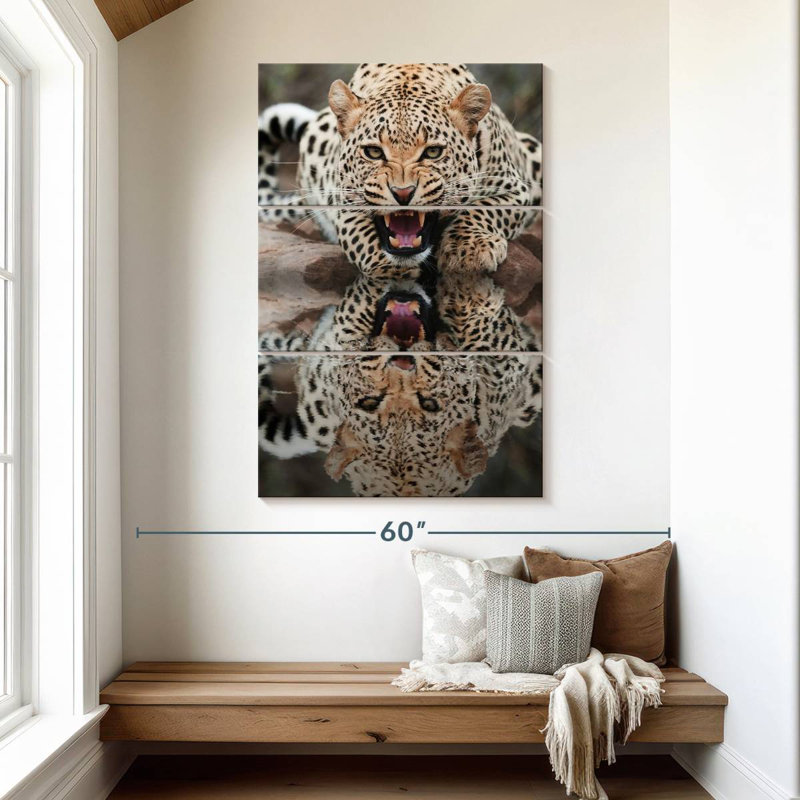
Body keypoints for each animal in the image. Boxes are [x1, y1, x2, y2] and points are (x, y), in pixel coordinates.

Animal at [258, 64, 542, 278]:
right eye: (373, 152)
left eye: (433, 152)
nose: (403, 193)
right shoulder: (342, 200)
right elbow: (359, 235)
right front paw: (389, 270)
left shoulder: (515, 188)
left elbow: (484, 209)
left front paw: (467, 250)